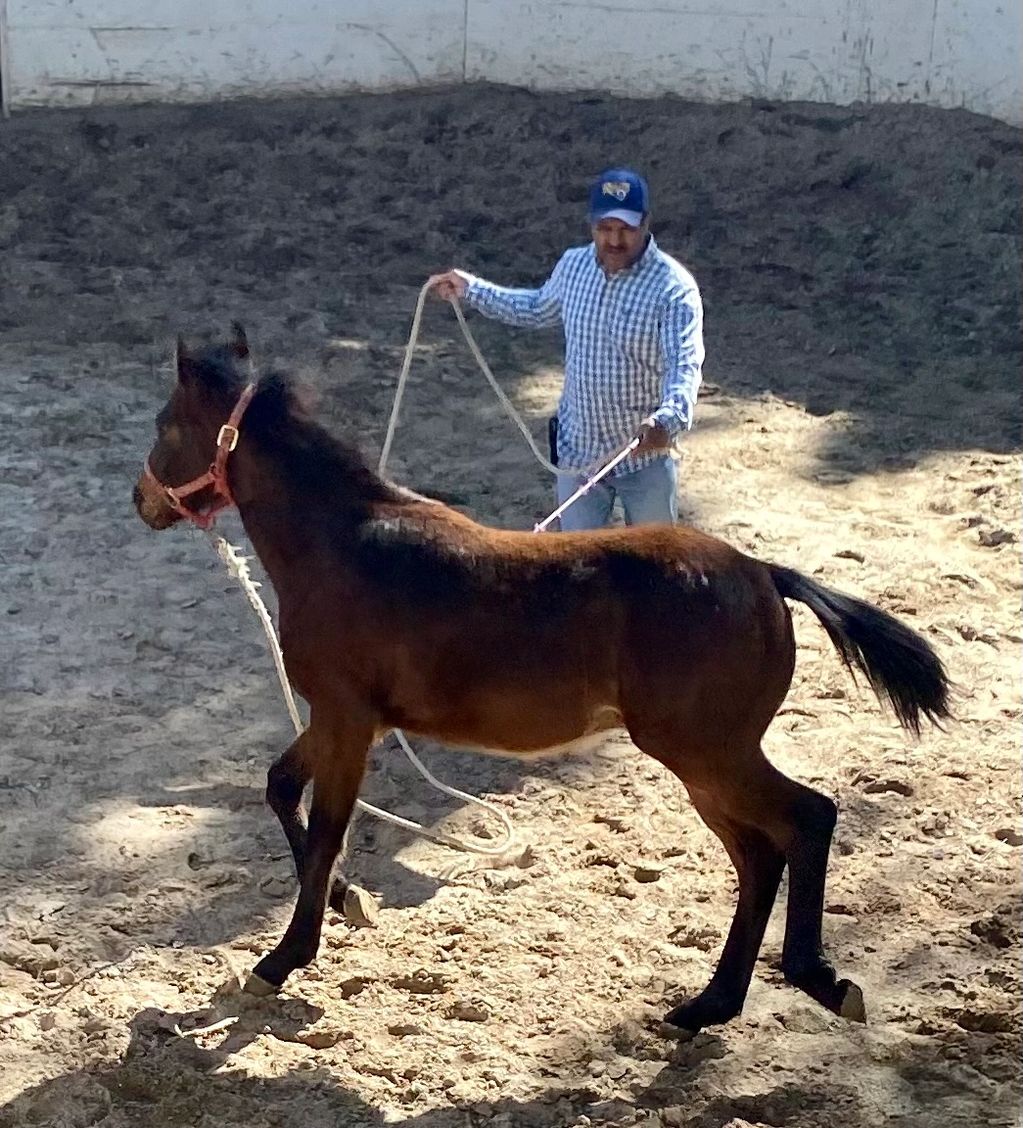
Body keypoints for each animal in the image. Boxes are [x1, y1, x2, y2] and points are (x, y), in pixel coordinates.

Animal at [132, 326, 950, 1033]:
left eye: (166, 424)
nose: (140, 501)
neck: (342, 545)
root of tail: (763, 574)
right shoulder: (343, 720)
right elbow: (280, 787)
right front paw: (345, 902)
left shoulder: (345, 718)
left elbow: (329, 826)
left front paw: (283, 958)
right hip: (705, 764)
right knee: (758, 857)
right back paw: (706, 1007)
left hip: (707, 751)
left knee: (806, 820)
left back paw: (821, 982)